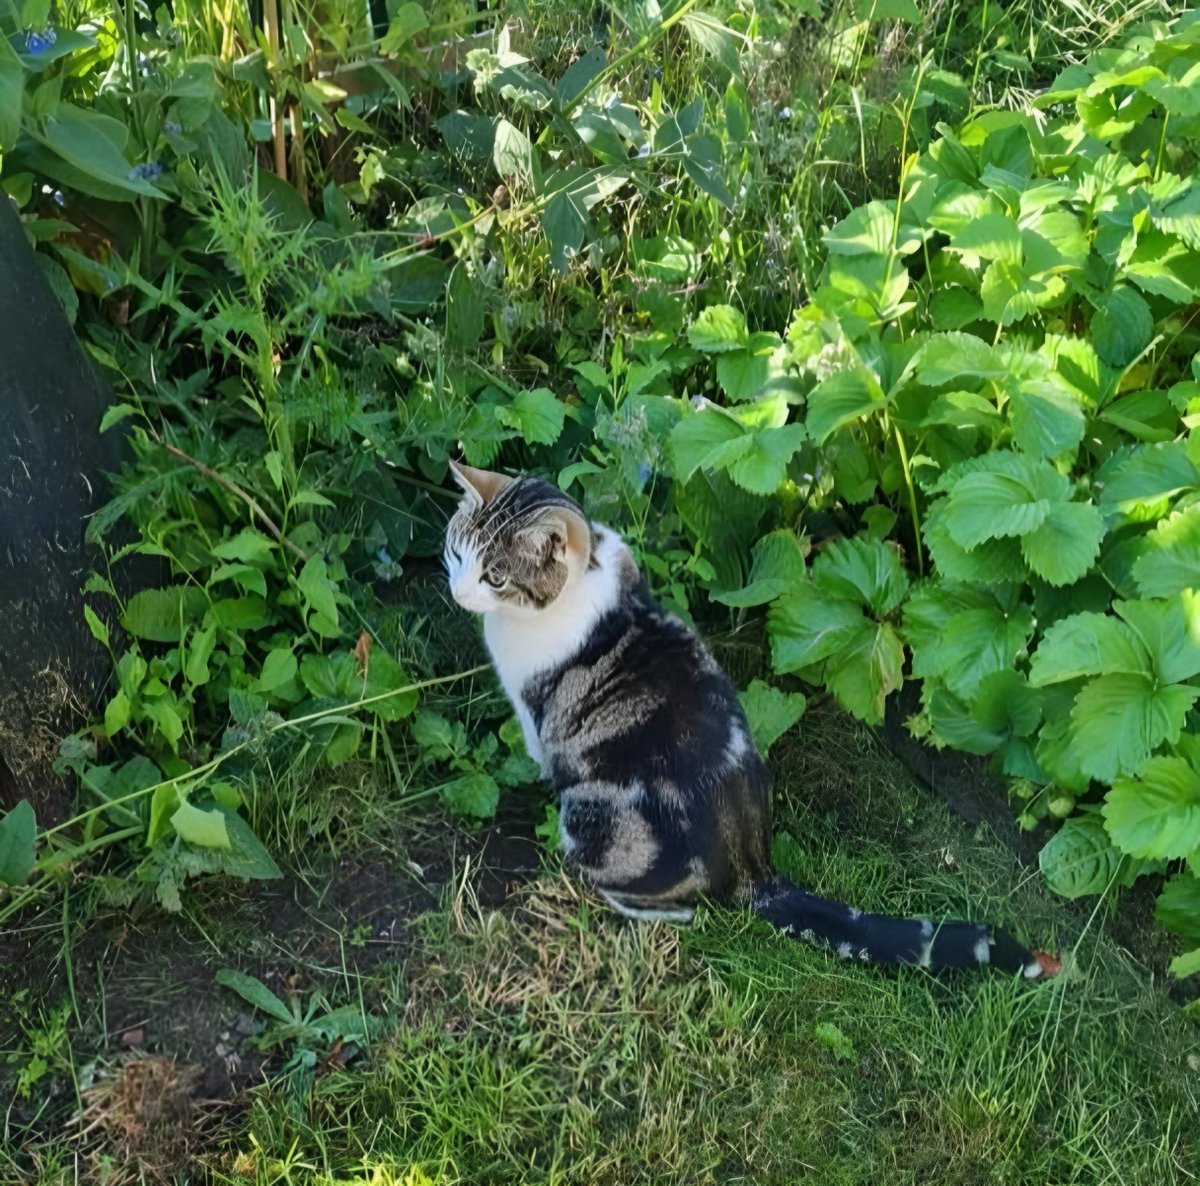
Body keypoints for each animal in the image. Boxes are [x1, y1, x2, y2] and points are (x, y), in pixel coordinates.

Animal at [446, 458, 1046, 979]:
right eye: (455, 552)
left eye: (495, 577)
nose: (456, 591)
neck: (585, 579)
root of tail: (755, 866)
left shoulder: (534, 715)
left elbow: (538, 749)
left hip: (596, 820)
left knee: (678, 908)